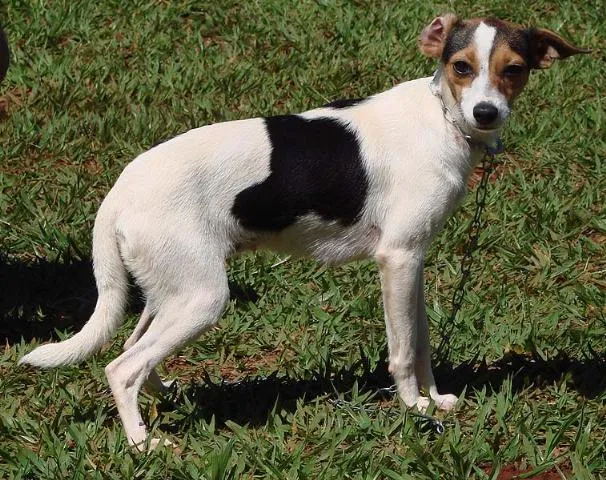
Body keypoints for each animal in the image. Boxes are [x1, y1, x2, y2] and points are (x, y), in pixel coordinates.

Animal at [20, 14, 589, 449]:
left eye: (514, 70)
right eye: (461, 67)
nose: (486, 113)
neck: (441, 117)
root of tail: (120, 190)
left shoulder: (413, 263)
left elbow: (422, 340)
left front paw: (435, 398)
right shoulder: (397, 259)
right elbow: (403, 351)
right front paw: (414, 408)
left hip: (173, 289)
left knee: (137, 348)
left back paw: (160, 396)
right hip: (203, 297)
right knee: (121, 368)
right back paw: (142, 443)